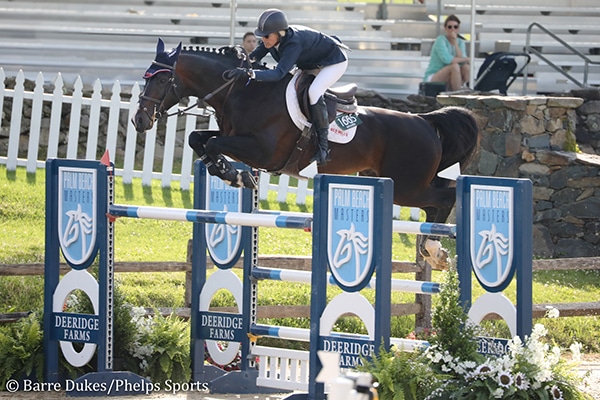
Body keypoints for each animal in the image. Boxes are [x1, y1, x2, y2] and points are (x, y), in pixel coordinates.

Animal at [132, 38, 478, 268]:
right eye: (145, 77)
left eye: (162, 79)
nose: (140, 121)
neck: (241, 91)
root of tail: (425, 121)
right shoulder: (233, 136)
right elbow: (197, 139)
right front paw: (230, 173)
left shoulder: (262, 151)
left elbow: (213, 145)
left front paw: (236, 176)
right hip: (394, 181)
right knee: (435, 204)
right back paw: (432, 252)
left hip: (407, 186)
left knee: (444, 199)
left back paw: (434, 247)